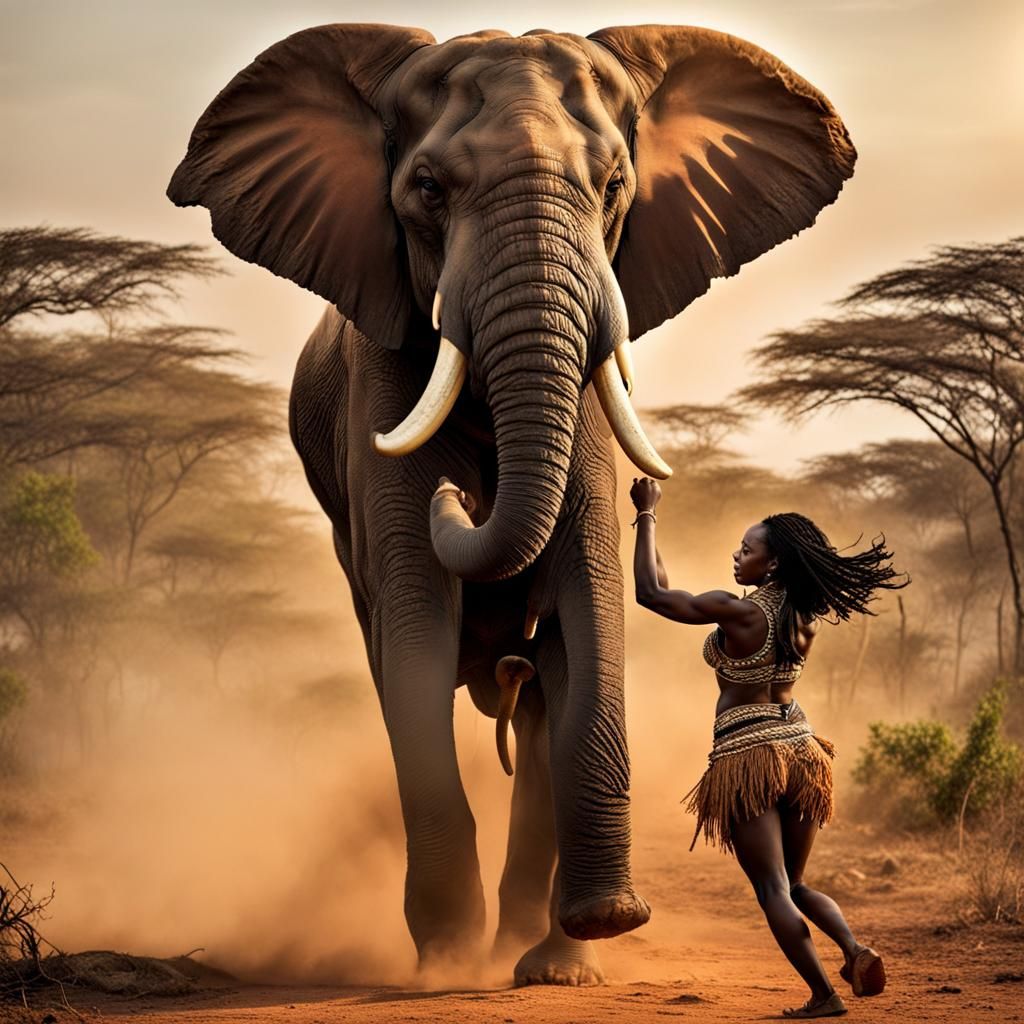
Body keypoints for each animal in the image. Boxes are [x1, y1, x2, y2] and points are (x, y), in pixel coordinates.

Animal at [168, 23, 854, 985]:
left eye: (614, 188)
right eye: (426, 189)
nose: (459, 493)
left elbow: (588, 613)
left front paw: (590, 938)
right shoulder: (382, 393)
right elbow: (415, 640)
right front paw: (446, 962)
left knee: (535, 707)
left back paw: (536, 952)